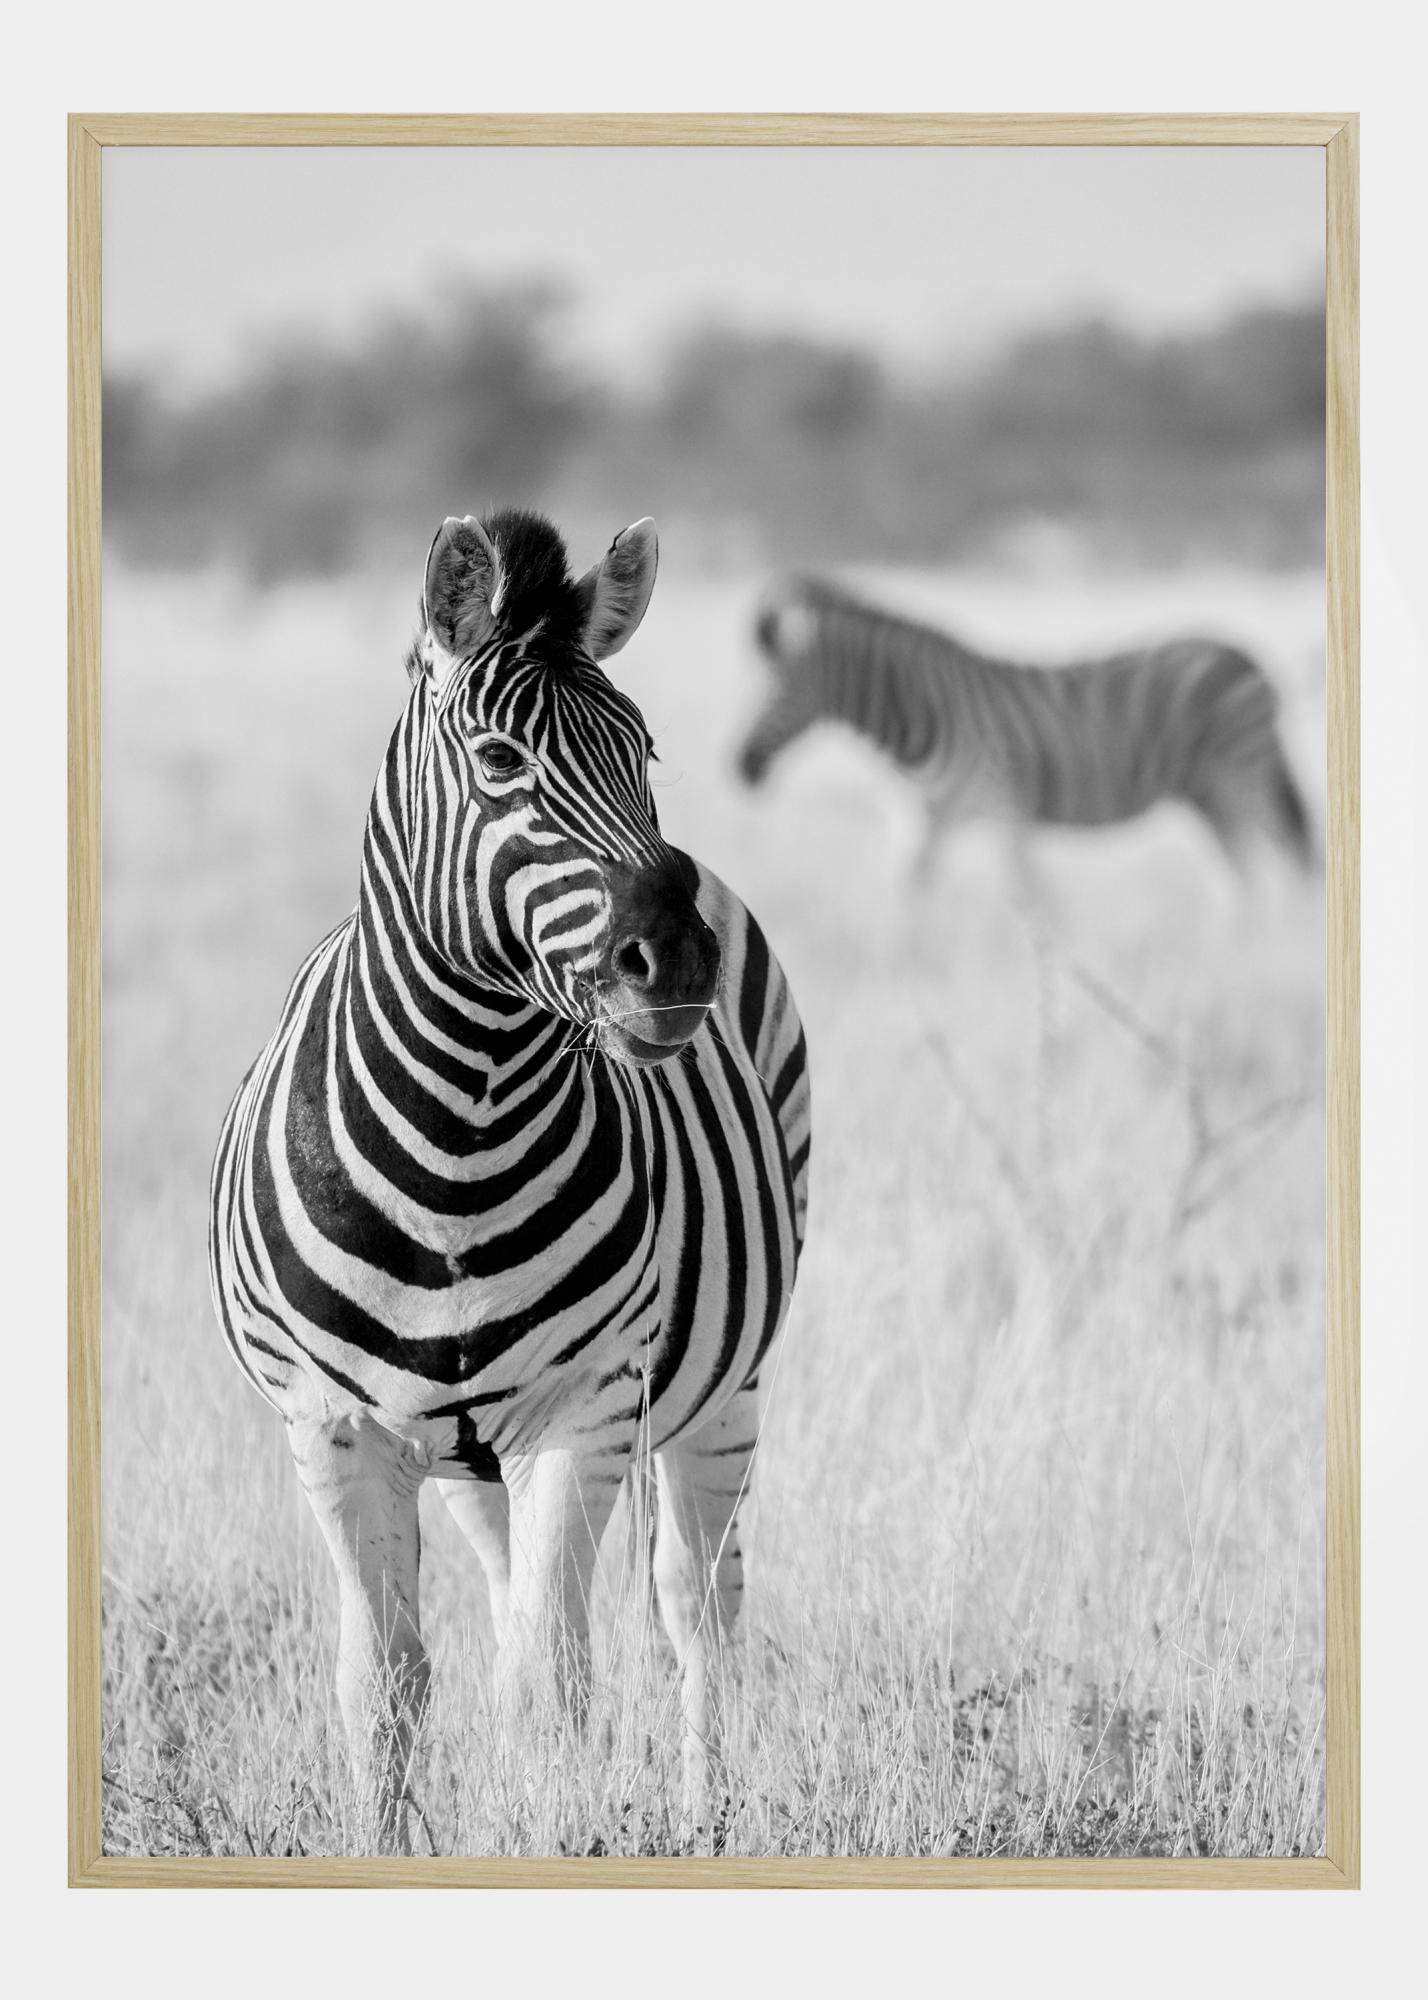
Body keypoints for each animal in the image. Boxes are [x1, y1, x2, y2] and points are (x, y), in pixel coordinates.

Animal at [209, 507, 811, 1849]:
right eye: (497, 759)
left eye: (643, 749)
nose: (675, 962)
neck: (459, 1135)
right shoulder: (333, 1427)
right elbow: (382, 1683)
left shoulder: (582, 1411)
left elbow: (553, 1683)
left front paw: (552, 1831)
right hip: (471, 1452)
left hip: (724, 1386)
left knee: (699, 1609)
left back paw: (706, 1819)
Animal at [737, 575, 1316, 876]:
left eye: (775, 690)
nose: (739, 768)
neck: (920, 715)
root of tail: (1245, 656)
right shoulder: (921, 824)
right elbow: (908, 912)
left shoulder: (1006, 814)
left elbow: (1036, 909)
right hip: (1208, 794)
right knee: (1244, 877)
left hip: (1244, 773)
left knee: (1293, 859)